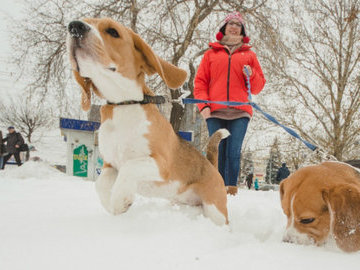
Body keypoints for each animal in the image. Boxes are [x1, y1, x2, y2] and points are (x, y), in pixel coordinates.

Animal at [66, 17, 229, 226]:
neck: (124, 105)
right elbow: (100, 184)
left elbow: (129, 167)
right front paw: (114, 206)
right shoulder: (110, 164)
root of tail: (211, 165)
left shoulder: (160, 164)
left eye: (112, 31)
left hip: (216, 211)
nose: (74, 27)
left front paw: (121, 200)